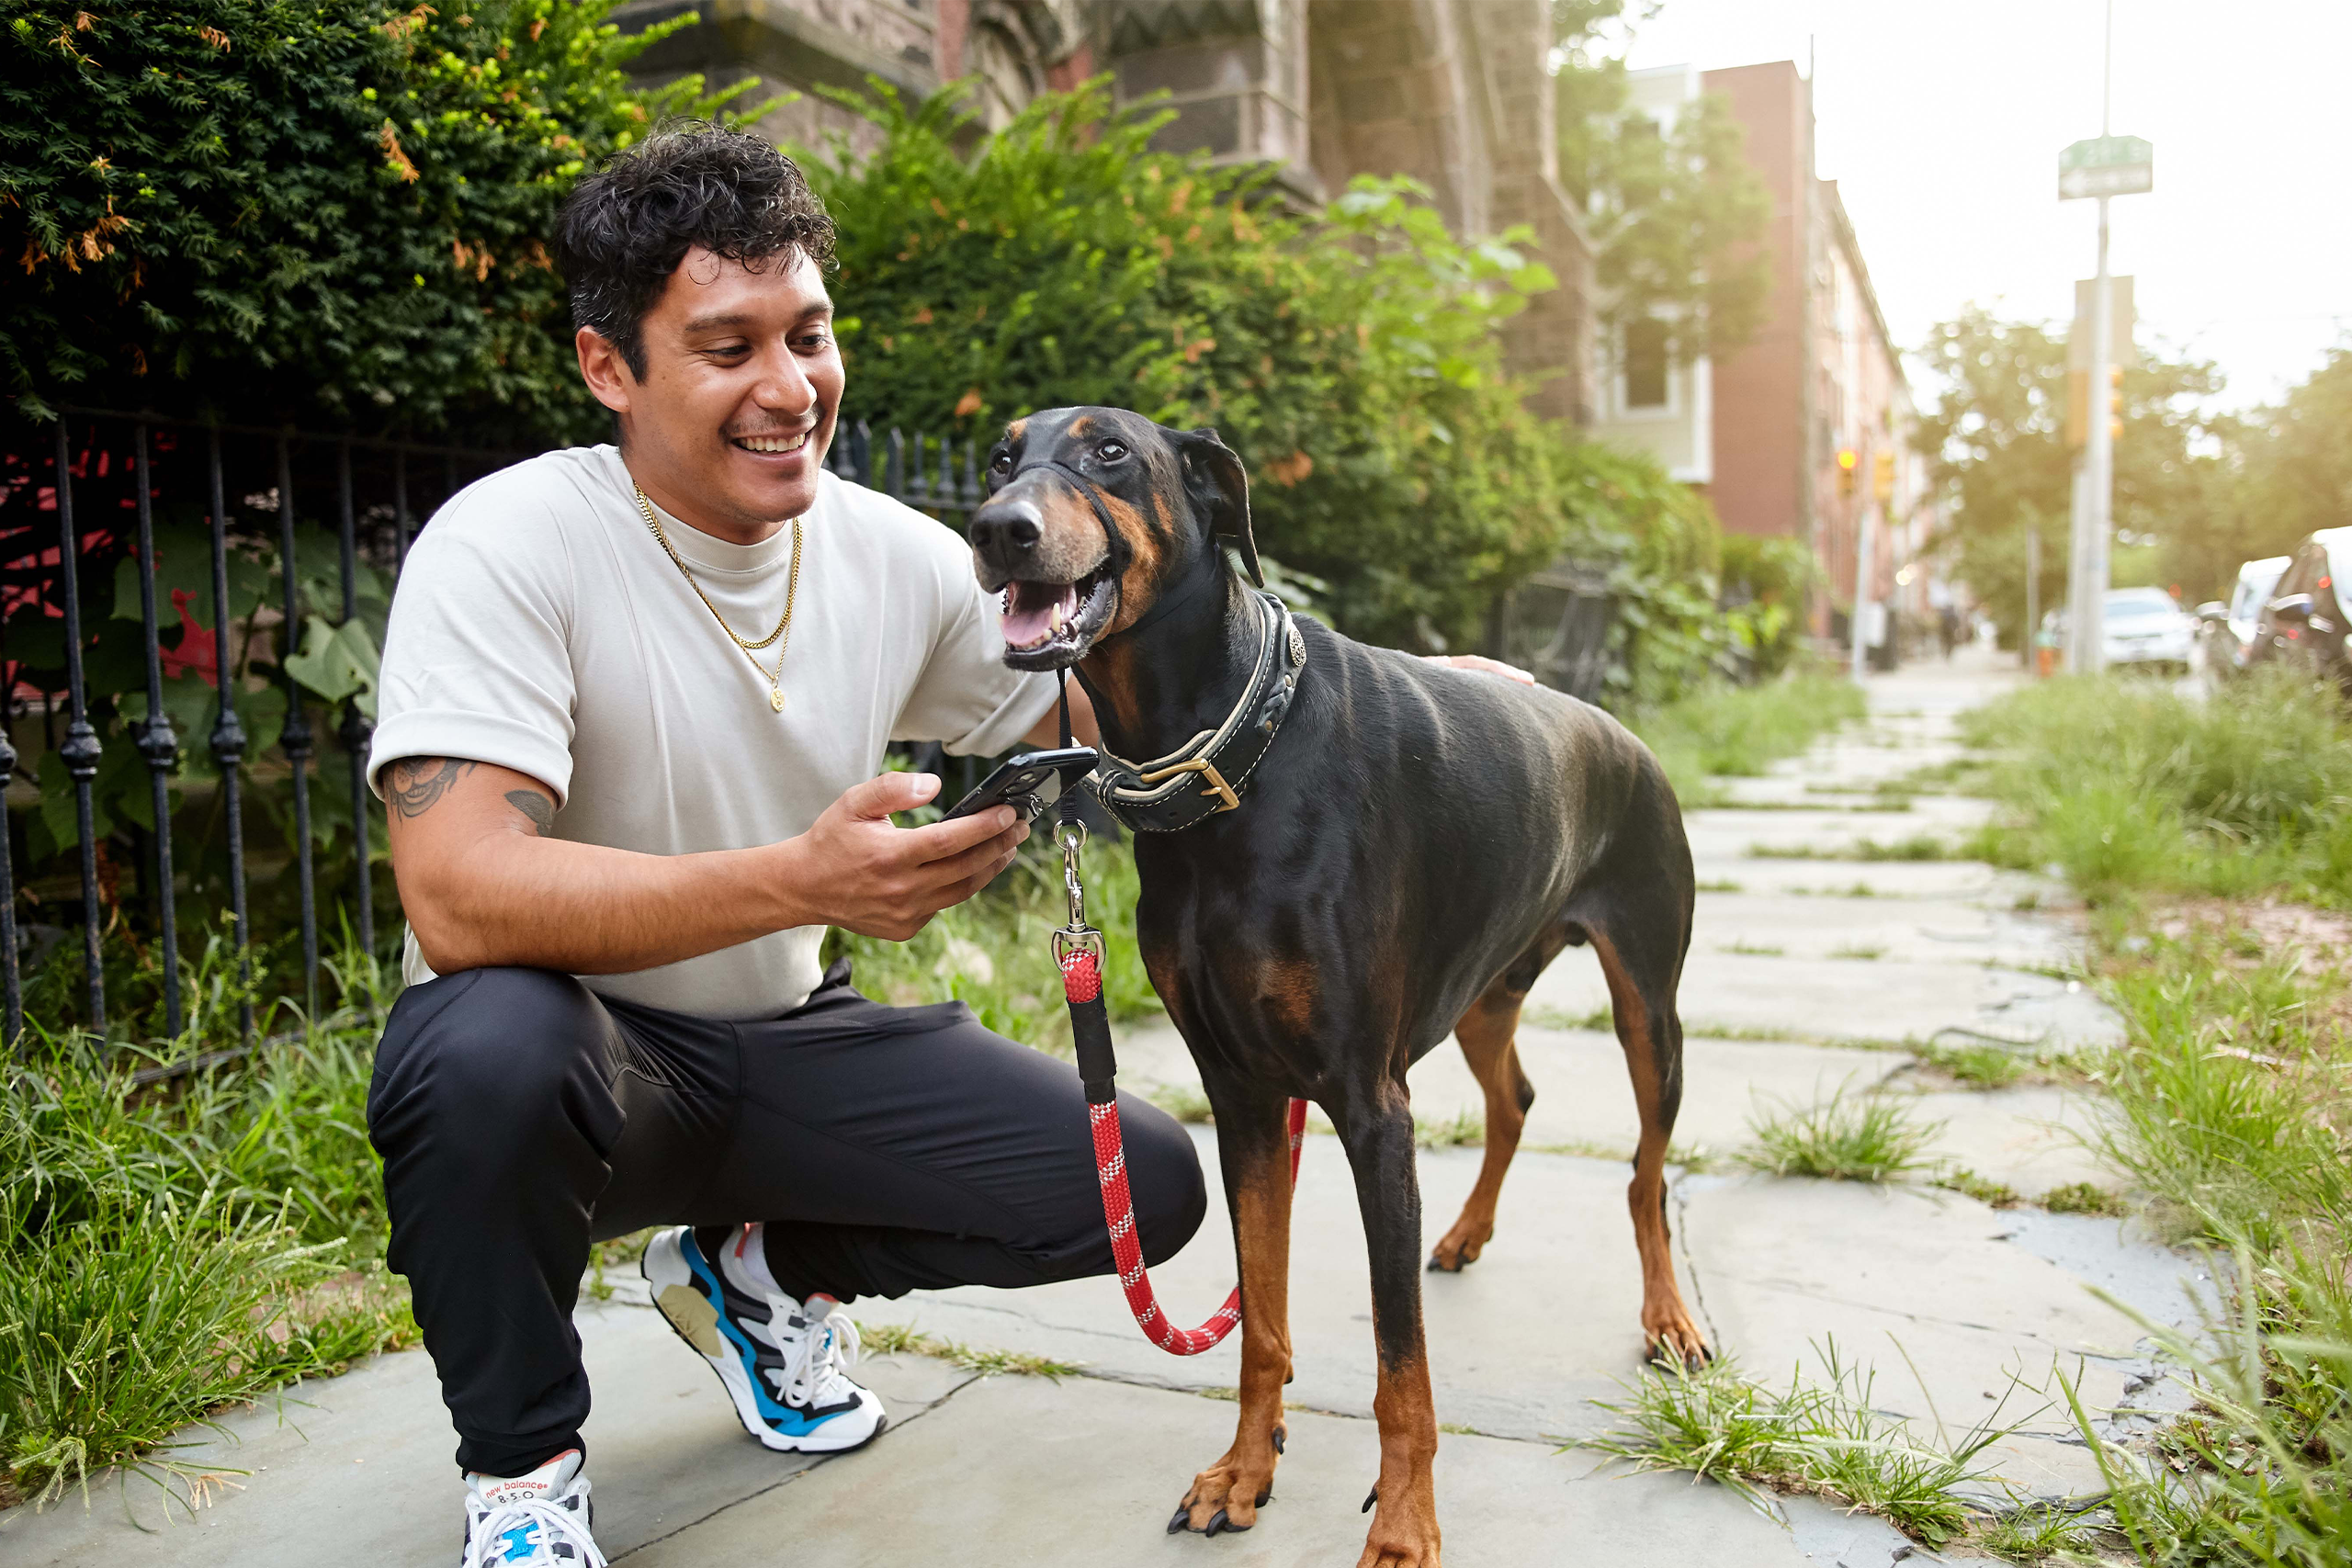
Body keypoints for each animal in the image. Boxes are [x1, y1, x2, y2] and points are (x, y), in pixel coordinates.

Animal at [964, 409, 1702, 1568]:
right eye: (1001, 457)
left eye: (1109, 452)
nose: (999, 529)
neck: (1226, 765)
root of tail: (1618, 733)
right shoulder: (1244, 1097)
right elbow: (1260, 1319)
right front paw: (1243, 1472)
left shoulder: (1366, 1106)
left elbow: (1402, 1363)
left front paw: (1403, 1525)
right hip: (1482, 992)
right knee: (1514, 1097)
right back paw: (1466, 1233)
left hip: (1647, 1007)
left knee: (1643, 1170)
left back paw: (1668, 1317)